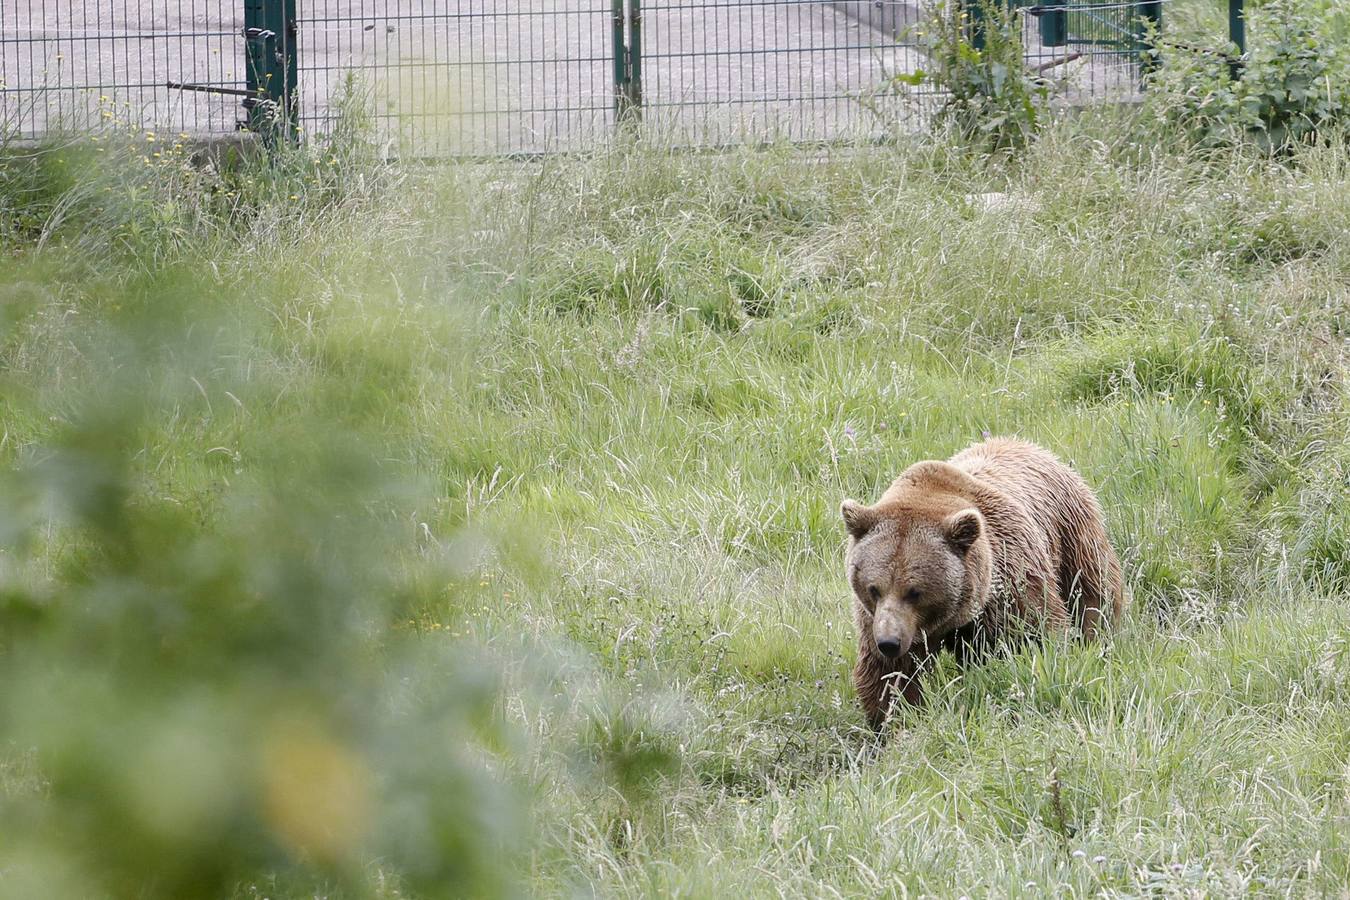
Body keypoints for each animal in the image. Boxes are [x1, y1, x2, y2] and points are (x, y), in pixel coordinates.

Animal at [837, 437, 1123, 734]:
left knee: (1093, 596)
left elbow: (1033, 639)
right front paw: (893, 720)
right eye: (873, 589)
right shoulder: (880, 621)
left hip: (1072, 534)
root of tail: (1027, 445)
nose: (889, 642)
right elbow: (892, 676)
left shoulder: (1011, 585)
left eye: (914, 592)